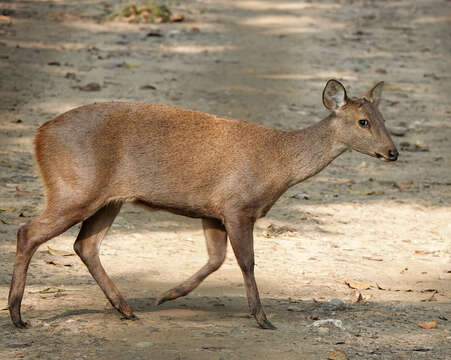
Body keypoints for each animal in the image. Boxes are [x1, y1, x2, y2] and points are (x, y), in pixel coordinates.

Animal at [8, 79, 400, 330]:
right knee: (28, 232)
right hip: (74, 189)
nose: (393, 152)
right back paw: (17, 315)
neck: (278, 165)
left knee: (85, 245)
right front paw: (262, 318)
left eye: (383, 119)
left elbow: (216, 258)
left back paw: (126, 309)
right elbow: (246, 262)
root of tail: (40, 135)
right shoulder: (238, 205)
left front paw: (168, 295)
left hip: (107, 199)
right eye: (363, 122)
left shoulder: (212, 210)